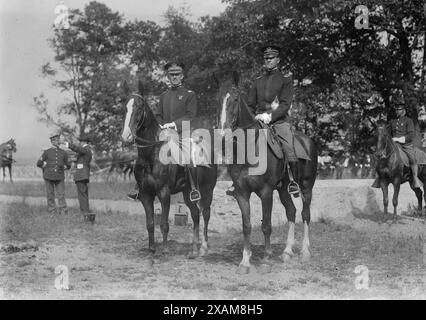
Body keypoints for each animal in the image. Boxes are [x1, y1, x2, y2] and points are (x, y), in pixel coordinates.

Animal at [121, 82, 218, 258]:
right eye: (125, 107)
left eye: (139, 107)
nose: (126, 137)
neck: (151, 154)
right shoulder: (145, 195)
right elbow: (150, 223)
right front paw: (152, 248)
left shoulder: (164, 193)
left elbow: (164, 223)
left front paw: (165, 249)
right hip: (187, 193)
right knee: (195, 214)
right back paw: (193, 249)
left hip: (207, 190)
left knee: (205, 213)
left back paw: (203, 248)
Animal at [218, 74, 318, 274]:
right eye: (220, 101)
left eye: (234, 100)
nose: (223, 136)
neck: (250, 149)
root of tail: (308, 141)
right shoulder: (242, 193)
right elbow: (247, 226)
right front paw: (245, 262)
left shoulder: (266, 192)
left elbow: (266, 226)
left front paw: (265, 259)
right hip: (283, 190)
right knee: (291, 211)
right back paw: (287, 252)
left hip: (306, 187)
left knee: (305, 214)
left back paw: (304, 252)